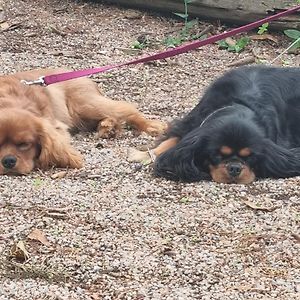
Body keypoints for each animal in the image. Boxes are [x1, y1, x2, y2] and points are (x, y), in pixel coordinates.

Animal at [0, 69, 165, 175]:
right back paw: (107, 127)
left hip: (84, 105)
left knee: (126, 109)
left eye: (24, 144)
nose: (8, 161)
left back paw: (151, 126)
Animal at [129, 65, 300, 183]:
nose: (234, 168)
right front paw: (143, 154)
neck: (240, 103)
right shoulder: (191, 123)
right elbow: (171, 141)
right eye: (217, 155)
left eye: (251, 157)